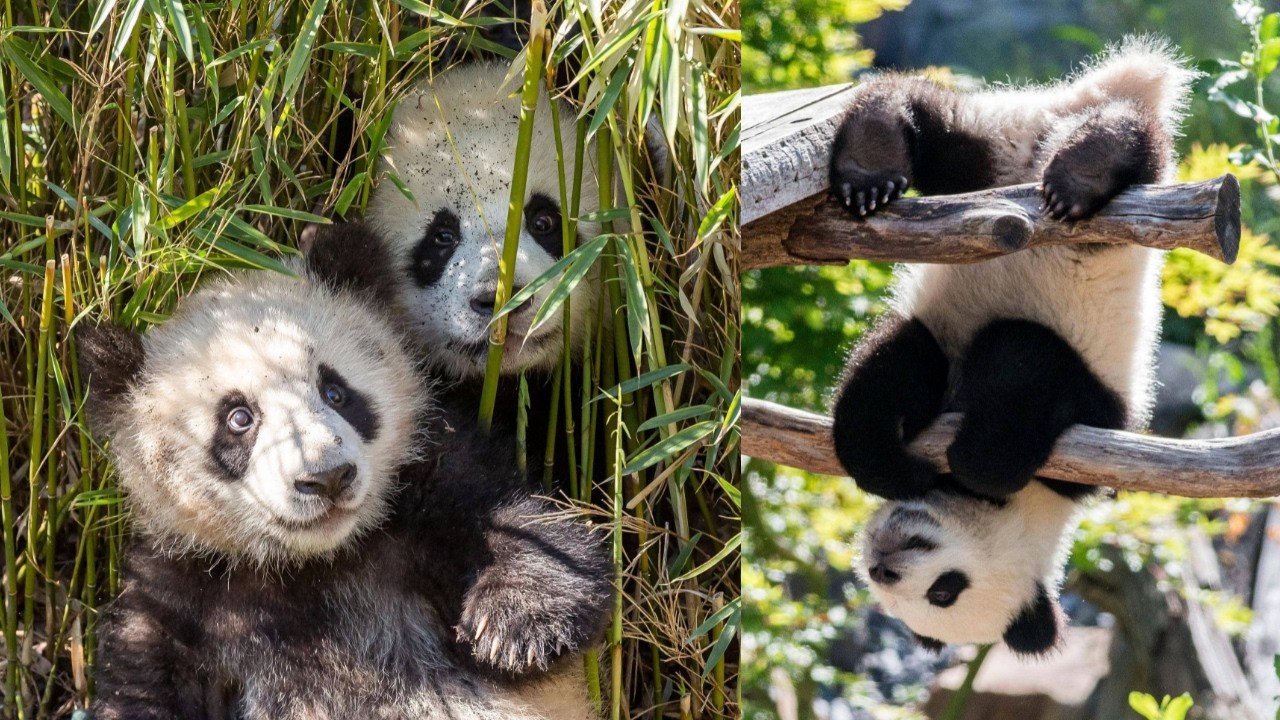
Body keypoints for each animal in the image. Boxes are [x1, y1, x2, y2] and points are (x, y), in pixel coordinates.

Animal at [79, 223, 612, 719]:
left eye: (335, 391)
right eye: (238, 419)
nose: (328, 478)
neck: (319, 563)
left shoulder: (426, 478)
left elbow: (523, 525)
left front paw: (517, 625)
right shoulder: (183, 592)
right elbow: (144, 684)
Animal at [827, 38, 1197, 654]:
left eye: (944, 592)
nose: (884, 566)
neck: (1038, 509)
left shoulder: (1085, 409)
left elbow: (1014, 368)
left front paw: (959, 462)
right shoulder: (940, 338)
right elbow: (893, 374)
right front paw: (900, 469)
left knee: (1125, 138)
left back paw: (1078, 176)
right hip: (995, 159)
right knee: (932, 118)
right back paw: (871, 165)